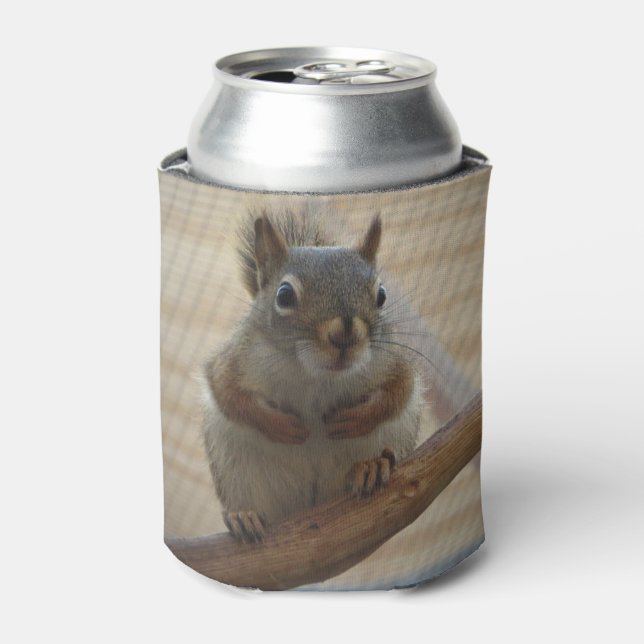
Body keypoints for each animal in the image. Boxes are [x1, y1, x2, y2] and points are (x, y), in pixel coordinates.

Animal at [202, 211, 423, 542]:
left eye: (382, 295)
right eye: (284, 295)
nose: (345, 335)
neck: (316, 374)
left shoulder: (393, 360)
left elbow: (399, 391)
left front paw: (357, 420)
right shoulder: (235, 360)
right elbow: (230, 395)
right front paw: (282, 426)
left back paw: (370, 466)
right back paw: (244, 515)